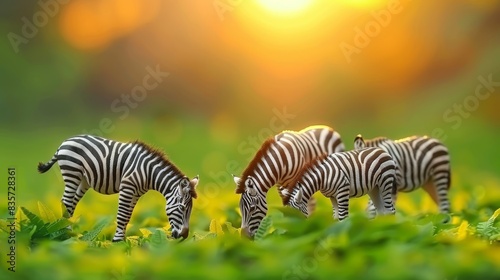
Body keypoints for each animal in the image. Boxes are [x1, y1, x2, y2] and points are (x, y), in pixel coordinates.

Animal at [37, 135, 199, 242]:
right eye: (182, 208)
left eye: (190, 209)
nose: (184, 236)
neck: (149, 172)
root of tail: (66, 141)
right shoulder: (127, 188)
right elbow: (122, 215)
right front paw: (117, 242)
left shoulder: (136, 193)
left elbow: (127, 216)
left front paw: (122, 241)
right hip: (72, 173)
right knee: (66, 202)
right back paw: (64, 234)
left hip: (83, 180)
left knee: (71, 204)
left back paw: (69, 234)